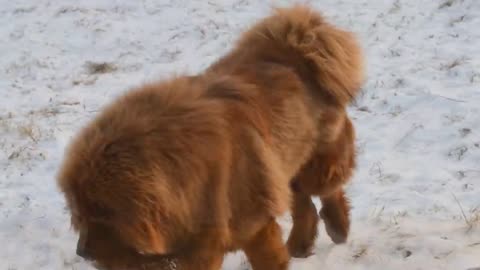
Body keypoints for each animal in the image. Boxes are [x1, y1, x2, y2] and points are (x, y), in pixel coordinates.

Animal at [56, 4, 364, 270]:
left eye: (102, 215)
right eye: (79, 212)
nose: (82, 251)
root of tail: (296, 46)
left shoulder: (251, 224)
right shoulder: (195, 243)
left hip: (315, 160)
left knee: (325, 190)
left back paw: (338, 227)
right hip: (285, 160)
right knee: (302, 202)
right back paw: (301, 244)